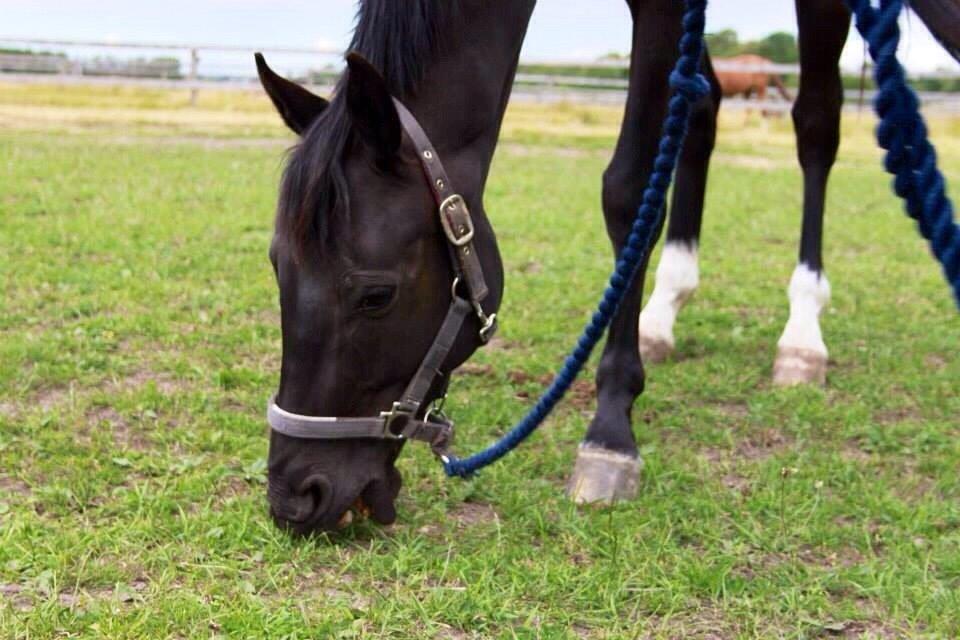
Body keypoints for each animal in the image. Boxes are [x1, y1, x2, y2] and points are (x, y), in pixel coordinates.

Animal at [251, 0, 956, 536]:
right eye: (278, 270)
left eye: (375, 294)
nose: (296, 497)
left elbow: (629, 189)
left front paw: (611, 431)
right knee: (704, 112)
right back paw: (664, 313)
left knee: (816, 125)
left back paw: (802, 334)